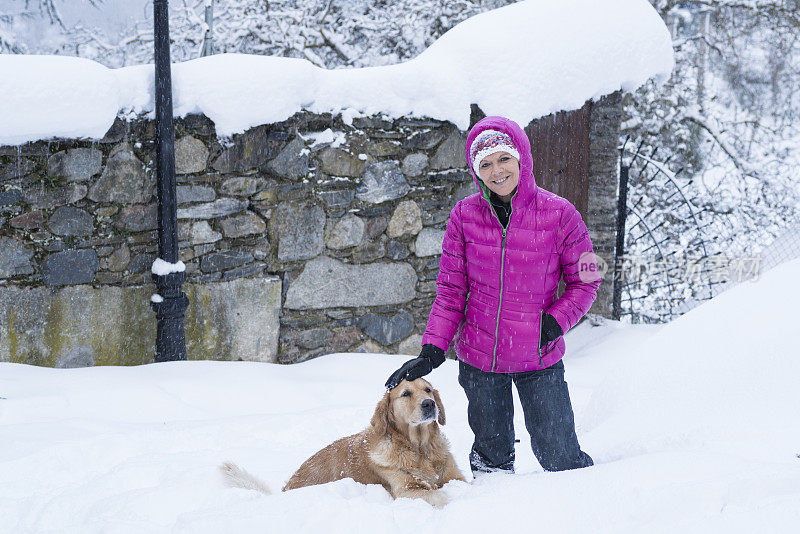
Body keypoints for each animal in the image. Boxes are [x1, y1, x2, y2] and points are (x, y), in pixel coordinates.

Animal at [222, 378, 466, 508]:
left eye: (428, 389)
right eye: (406, 393)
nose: (429, 404)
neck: (420, 448)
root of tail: (285, 490)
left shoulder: (454, 476)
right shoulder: (406, 490)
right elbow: (439, 495)